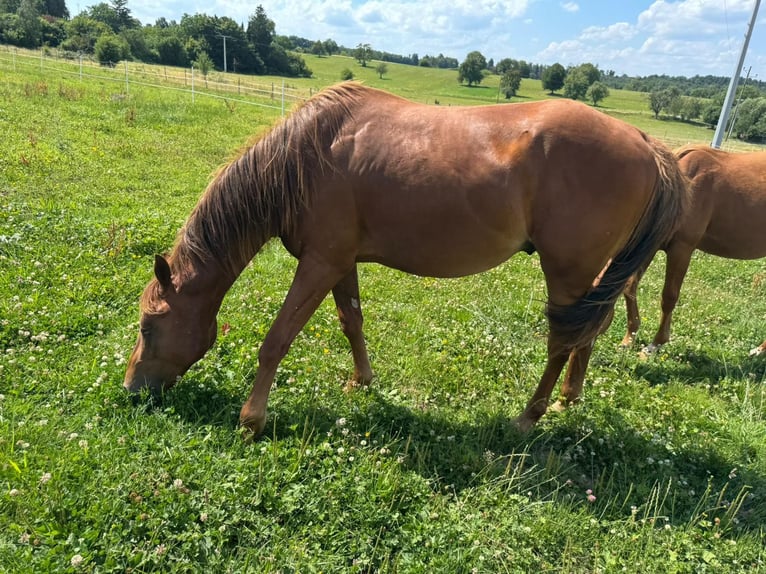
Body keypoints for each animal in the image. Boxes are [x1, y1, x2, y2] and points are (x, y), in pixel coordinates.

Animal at [123, 82, 688, 437]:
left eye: (150, 326)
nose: (131, 389)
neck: (304, 156)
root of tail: (643, 141)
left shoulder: (319, 264)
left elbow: (276, 340)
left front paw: (251, 419)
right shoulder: (339, 262)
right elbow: (351, 321)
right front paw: (362, 381)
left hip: (567, 273)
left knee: (562, 339)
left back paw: (530, 415)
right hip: (592, 275)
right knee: (589, 330)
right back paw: (570, 397)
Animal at [621, 145, 766, 356]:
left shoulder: (682, 248)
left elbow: (669, 297)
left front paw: (655, 344)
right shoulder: (652, 246)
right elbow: (630, 286)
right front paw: (630, 337)